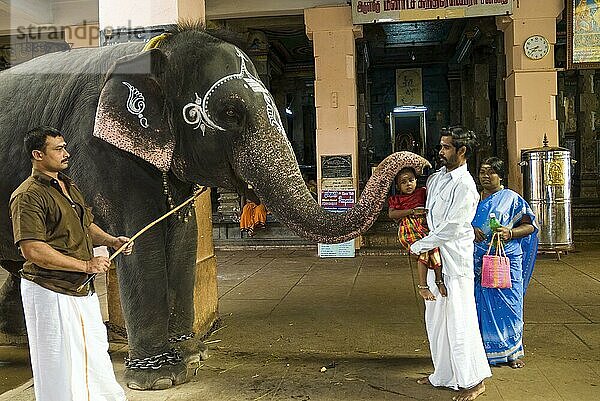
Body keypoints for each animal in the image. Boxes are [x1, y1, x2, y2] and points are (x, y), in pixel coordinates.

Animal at [0, 23, 432, 390]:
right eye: (230, 114)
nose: (420, 165)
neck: (155, 52)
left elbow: (184, 236)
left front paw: (191, 357)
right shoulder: (100, 149)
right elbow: (143, 241)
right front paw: (160, 379)